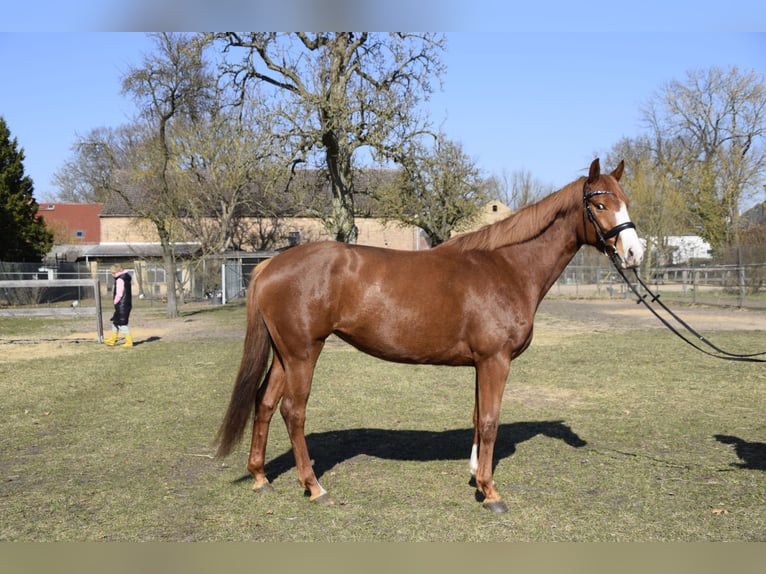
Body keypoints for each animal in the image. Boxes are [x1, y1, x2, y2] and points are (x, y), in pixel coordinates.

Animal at [216, 158, 644, 513]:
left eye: (625, 201)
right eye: (600, 205)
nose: (634, 253)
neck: (506, 267)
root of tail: (269, 265)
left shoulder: (481, 363)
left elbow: (477, 417)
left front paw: (475, 475)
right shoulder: (496, 360)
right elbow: (491, 420)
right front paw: (491, 492)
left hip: (284, 354)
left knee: (264, 403)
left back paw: (260, 477)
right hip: (303, 353)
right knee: (293, 411)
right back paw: (314, 486)